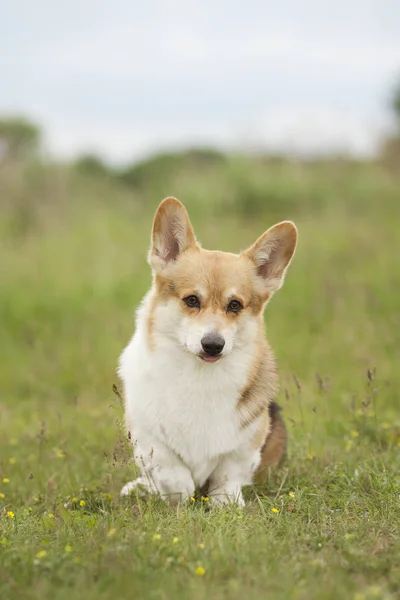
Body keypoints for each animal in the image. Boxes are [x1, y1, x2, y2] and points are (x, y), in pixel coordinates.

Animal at [117, 198, 296, 506]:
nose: (213, 344)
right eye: (192, 300)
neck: (199, 375)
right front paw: (179, 496)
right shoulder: (147, 437)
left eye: (235, 305)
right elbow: (173, 473)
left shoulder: (246, 442)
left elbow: (227, 476)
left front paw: (227, 505)